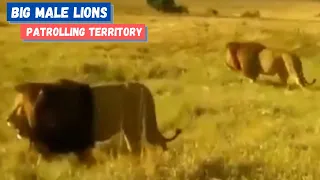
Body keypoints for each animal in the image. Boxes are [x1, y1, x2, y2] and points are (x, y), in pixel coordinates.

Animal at [6, 79, 181, 159]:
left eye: (19, 108)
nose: (8, 121)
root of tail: (141, 86)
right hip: (131, 128)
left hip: (133, 126)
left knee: (144, 145)